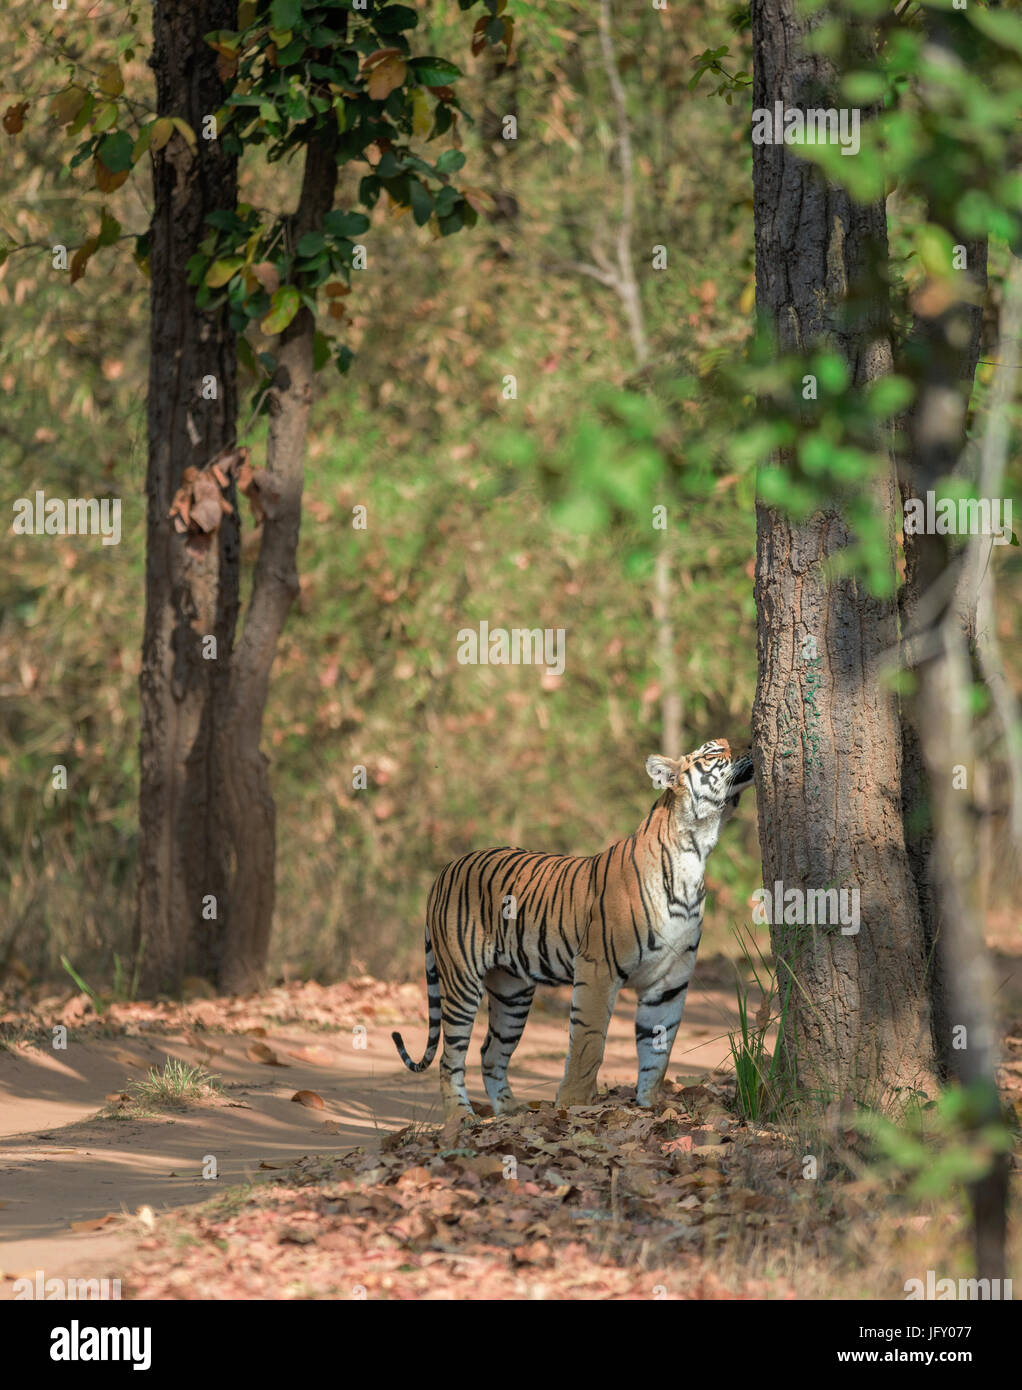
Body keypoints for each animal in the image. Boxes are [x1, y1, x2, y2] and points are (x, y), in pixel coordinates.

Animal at [389, 739, 750, 1117]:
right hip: (462, 980)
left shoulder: (670, 980)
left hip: (512, 991)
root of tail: (445, 870)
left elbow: (657, 1050)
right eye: (713, 752)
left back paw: (512, 1112)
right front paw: (574, 1105)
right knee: (450, 1059)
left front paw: (652, 1107)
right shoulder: (598, 968)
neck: (697, 849)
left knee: (490, 1051)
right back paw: (462, 1119)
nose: (751, 745)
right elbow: (589, 1042)